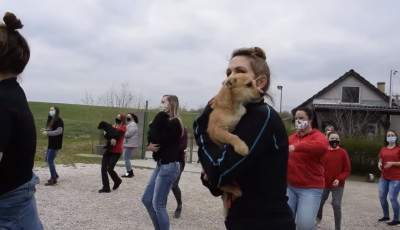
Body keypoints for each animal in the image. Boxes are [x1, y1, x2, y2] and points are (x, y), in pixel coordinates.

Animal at [208, 73, 264, 217]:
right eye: (249, 84)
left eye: (255, 83)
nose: (262, 93)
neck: (233, 106)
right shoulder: (218, 130)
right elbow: (232, 136)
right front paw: (242, 147)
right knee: (222, 185)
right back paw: (236, 190)